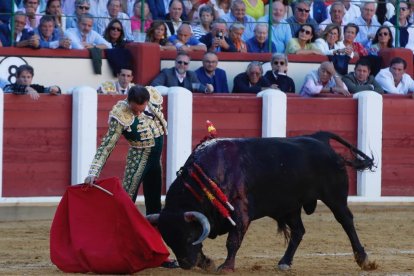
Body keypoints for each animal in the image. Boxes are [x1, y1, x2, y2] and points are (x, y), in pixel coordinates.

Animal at [147, 132, 376, 272]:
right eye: (168, 240)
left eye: (188, 236)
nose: (186, 264)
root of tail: (319, 138)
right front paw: (207, 262)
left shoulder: (241, 213)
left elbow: (232, 241)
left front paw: (226, 267)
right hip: (289, 206)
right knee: (299, 231)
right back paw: (284, 262)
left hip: (335, 197)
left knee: (346, 221)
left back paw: (363, 259)